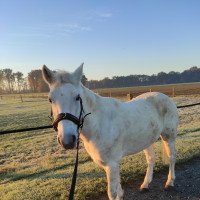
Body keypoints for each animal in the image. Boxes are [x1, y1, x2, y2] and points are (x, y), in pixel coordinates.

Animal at [41, 63, 178, 199]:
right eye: (50, 99)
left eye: (77, 97)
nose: (67, 140)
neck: (99, 124)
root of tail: (165, 97)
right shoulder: (112, 164)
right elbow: (118, 188)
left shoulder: (111, 164)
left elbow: (112, 193)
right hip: (146, 140)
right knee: (151, 158)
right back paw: (145, 185)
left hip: (169, 136)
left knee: (171, 158)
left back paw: (170, 183)